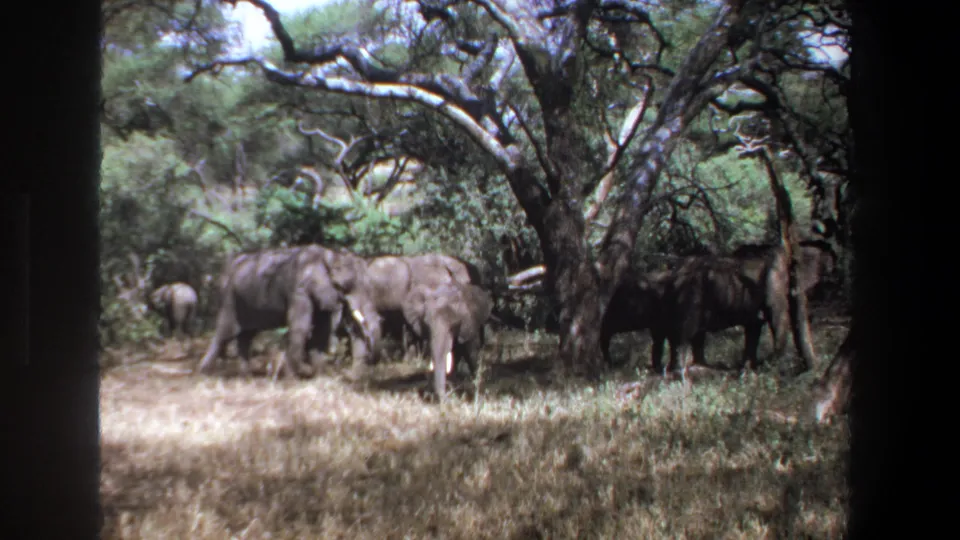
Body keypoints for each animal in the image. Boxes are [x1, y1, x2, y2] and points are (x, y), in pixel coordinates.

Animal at [196, 245, 382, 379]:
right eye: (347, 286)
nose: (347, 375)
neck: (328, 255)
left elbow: (322, 330)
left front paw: (319, 376)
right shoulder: (299, 290)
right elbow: (302, 327)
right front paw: (294, 377)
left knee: (246, 336)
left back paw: (246, 375)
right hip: (229, 297)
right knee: (225, 333)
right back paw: (204, 373)